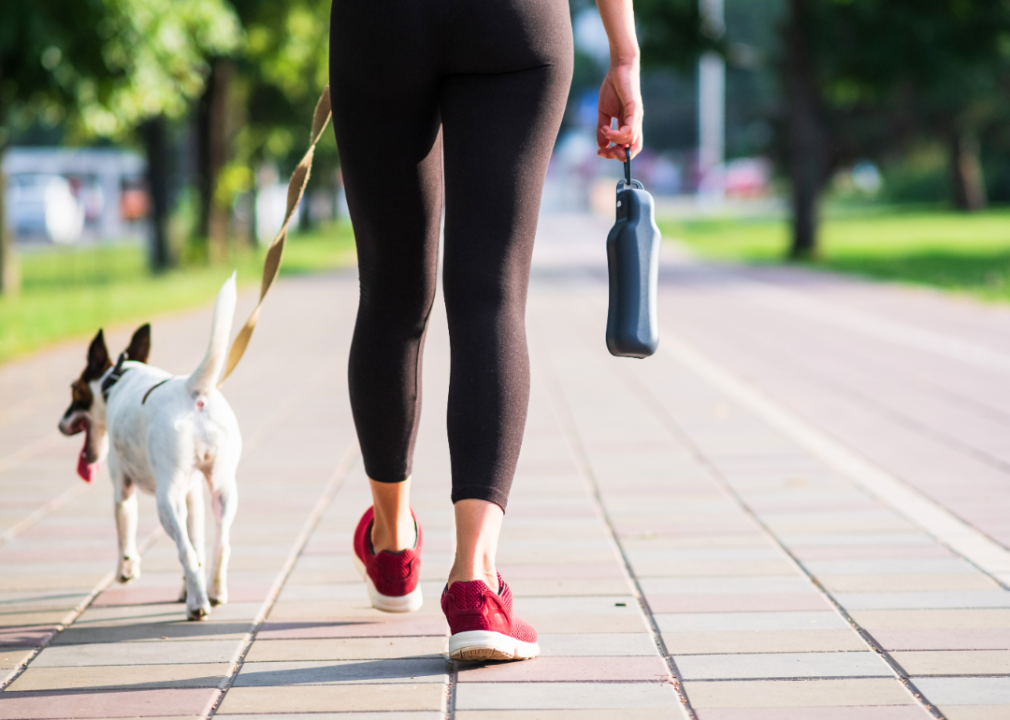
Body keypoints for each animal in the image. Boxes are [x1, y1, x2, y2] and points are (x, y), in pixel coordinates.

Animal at [59, 274, 242, 618]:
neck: (117, 379)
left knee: (184, 550)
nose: (59, 424)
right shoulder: (193, 494)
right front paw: (186, 587)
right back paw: (214, 592)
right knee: (219, 544)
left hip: (166, 501)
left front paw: (126, 571)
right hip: (222, 490)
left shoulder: (122, 489)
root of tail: (192, 390)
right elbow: (198, 543)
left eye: (74, 390)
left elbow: (125, 535)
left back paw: (197, 605)